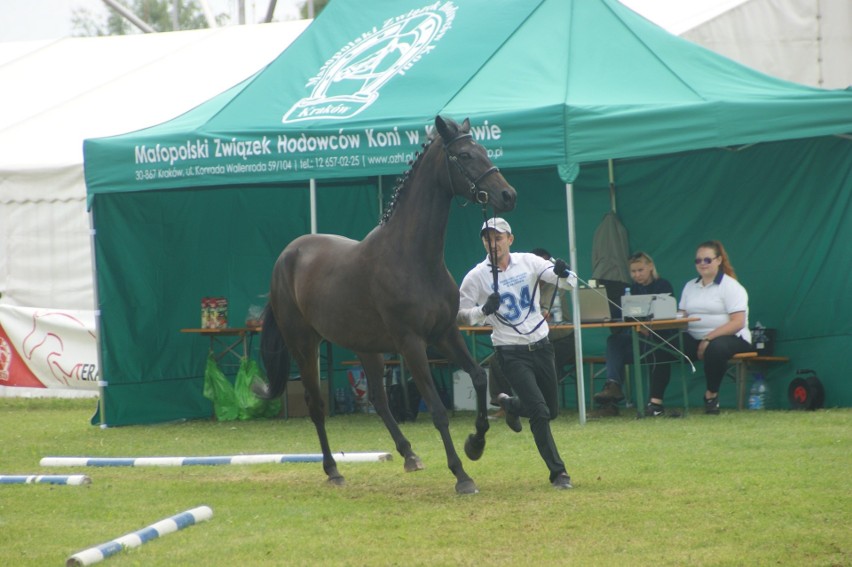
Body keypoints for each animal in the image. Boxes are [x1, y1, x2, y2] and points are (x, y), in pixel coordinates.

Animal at [253, 115, 516, 492]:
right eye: (465, 155)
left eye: (483, 149)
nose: (507, 195)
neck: (413, 257)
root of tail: (286, 257)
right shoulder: (412, 344)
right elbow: (438, 411)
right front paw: (462, 475)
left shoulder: (445, 333)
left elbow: (480, 377)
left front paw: (475, 443)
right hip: (304, 346)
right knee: (316, 405)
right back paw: (333, 470)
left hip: (366, 347)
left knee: (378, 399)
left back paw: (409, 454)